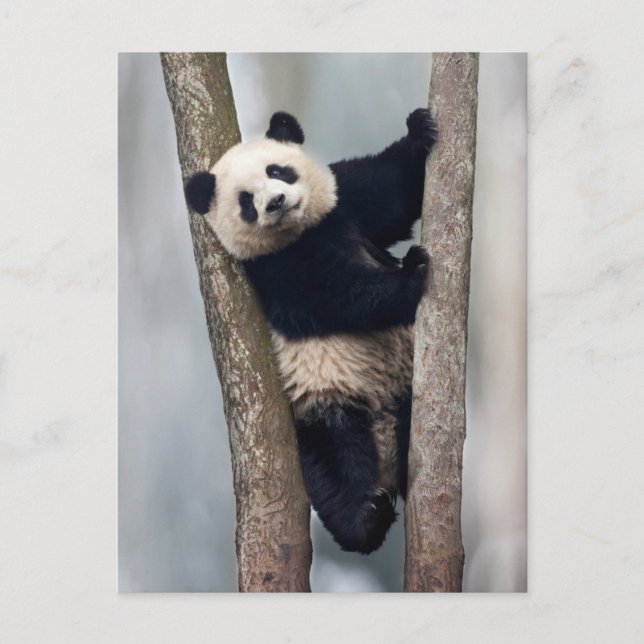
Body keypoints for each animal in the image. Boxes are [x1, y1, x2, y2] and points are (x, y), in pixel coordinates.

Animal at [184, 109, 436, 554]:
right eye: (246, 201)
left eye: (277, 171)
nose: (275, 202)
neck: (302, 233)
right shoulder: (274, 271)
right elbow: (337, 298)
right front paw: (412, 274)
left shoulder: (343, 204)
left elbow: (391, 191)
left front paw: (420, 129)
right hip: (323, 405)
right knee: (335, 466)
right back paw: (367, 517)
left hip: (405, 383)